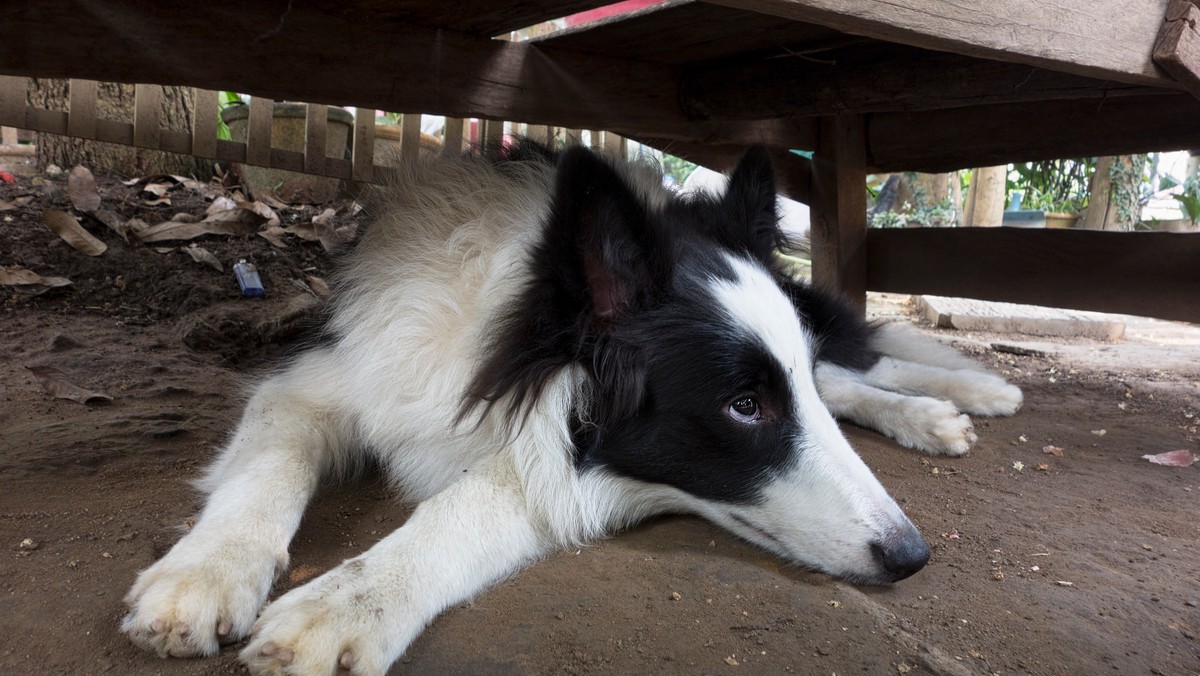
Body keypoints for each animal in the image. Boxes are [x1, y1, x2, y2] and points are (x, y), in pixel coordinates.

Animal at [121, 141, 1022, 672]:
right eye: (743, 407)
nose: (911, 556)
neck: (500, 337)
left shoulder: (570, 460)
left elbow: (467, 502)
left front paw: (347, 602)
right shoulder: (321, 380)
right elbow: (267, 468)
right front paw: (203, 573)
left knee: (850, 366)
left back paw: (961, 398)